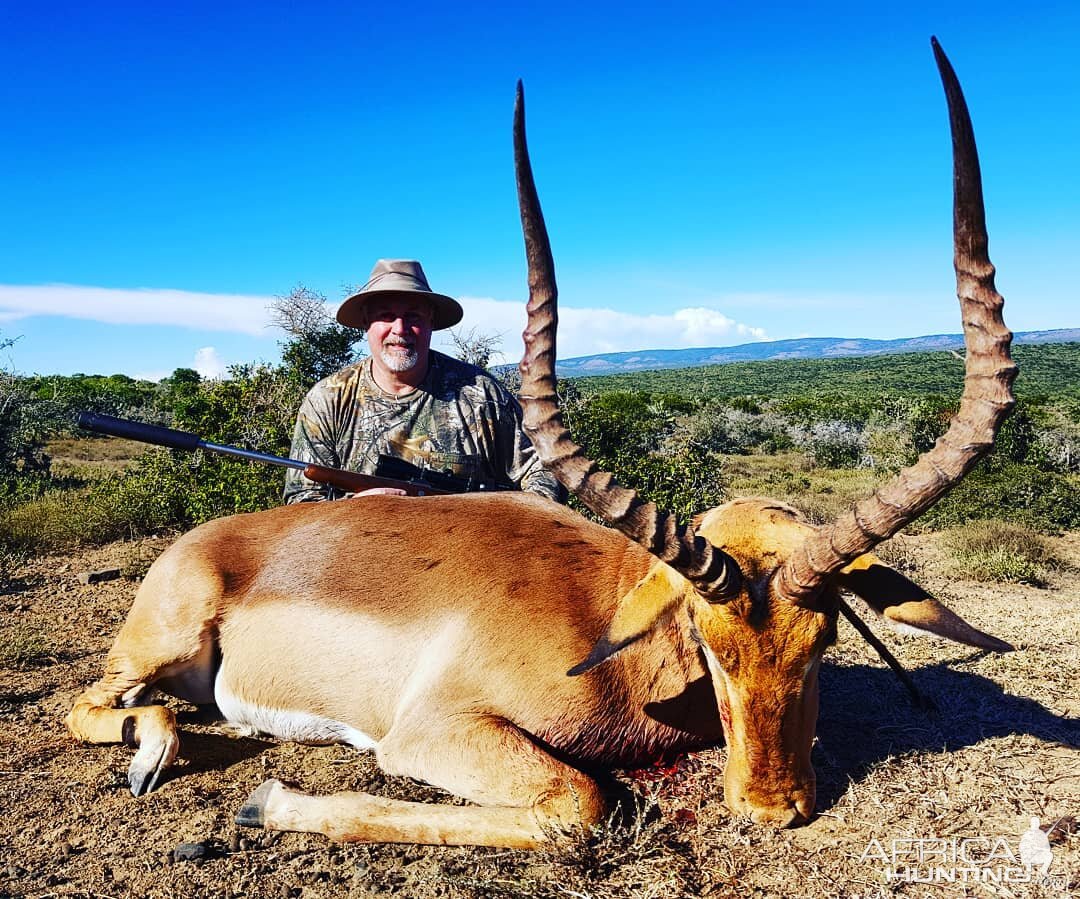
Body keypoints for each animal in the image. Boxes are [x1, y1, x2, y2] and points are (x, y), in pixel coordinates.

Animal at [69, 38, 1019, 847]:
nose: (772, 807)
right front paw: (265, 801)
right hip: (153, 651)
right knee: (90, 703)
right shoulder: (428, 733)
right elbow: (583, 803)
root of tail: (204, 540)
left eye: (824, 641)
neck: (605, 622)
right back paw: (152, 756)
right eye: (709, 640)